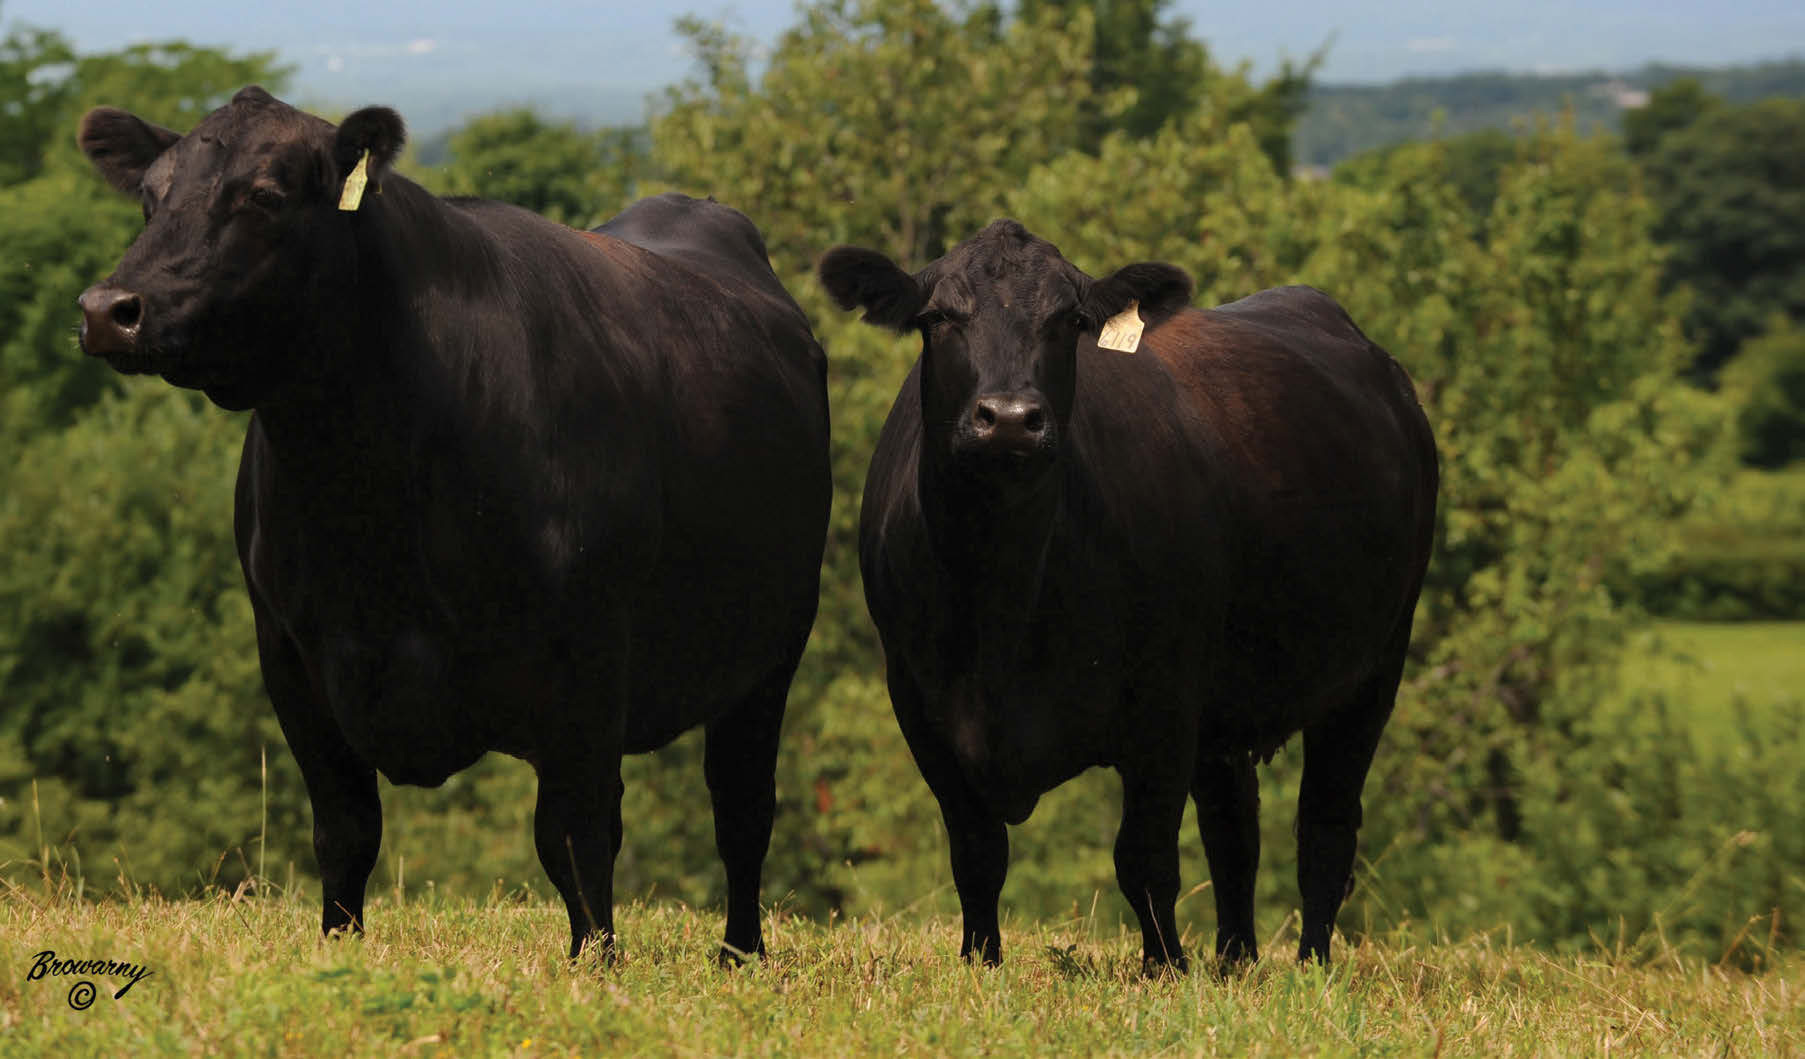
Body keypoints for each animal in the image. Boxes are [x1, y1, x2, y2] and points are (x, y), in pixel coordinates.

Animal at [70, 89, 830, 959]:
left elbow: (575, 835)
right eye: (149, 196)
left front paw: (595, 965)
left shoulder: (589, 656)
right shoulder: (290, 653)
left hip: (773, 646)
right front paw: (339, 952)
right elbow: (345, 829)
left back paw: (740, 953)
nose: (109, 310)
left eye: (263, 195)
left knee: (741, 808)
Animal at [823, 223, 1436, 981]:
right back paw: (1235, 961)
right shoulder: (920, 705)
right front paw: (980, 962)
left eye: (1069, 321)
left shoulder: (1163, 704)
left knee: (1325, 824)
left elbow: (1143, 857)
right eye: (938, 317)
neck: (1001, 601)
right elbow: (977, 855)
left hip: (1375, 664)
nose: (1009, 419)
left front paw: (1164, 969)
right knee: (1234, 825)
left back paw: (1310, 966)